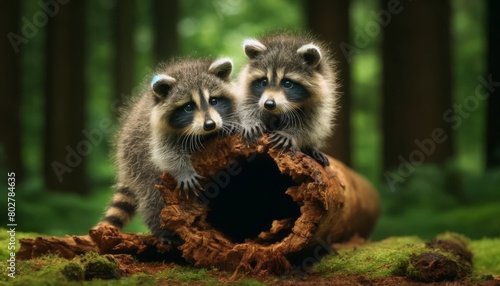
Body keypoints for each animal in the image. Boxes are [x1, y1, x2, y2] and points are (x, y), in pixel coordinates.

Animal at [100, 57, 238, 242]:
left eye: (213, 101)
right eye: (188, 107)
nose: (210, 125)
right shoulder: (156, 133)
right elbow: (165, 153)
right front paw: (183, 170)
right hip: (136, 159)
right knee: (152, 194)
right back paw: (162, 230)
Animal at [236, 33, 338, 168]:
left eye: (287, 83)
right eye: (264, 81)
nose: (269, 104)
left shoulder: (321, 104)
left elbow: (311, 124)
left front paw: (290, 133)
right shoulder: (248, 92)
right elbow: (245, 105)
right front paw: (250, 120)